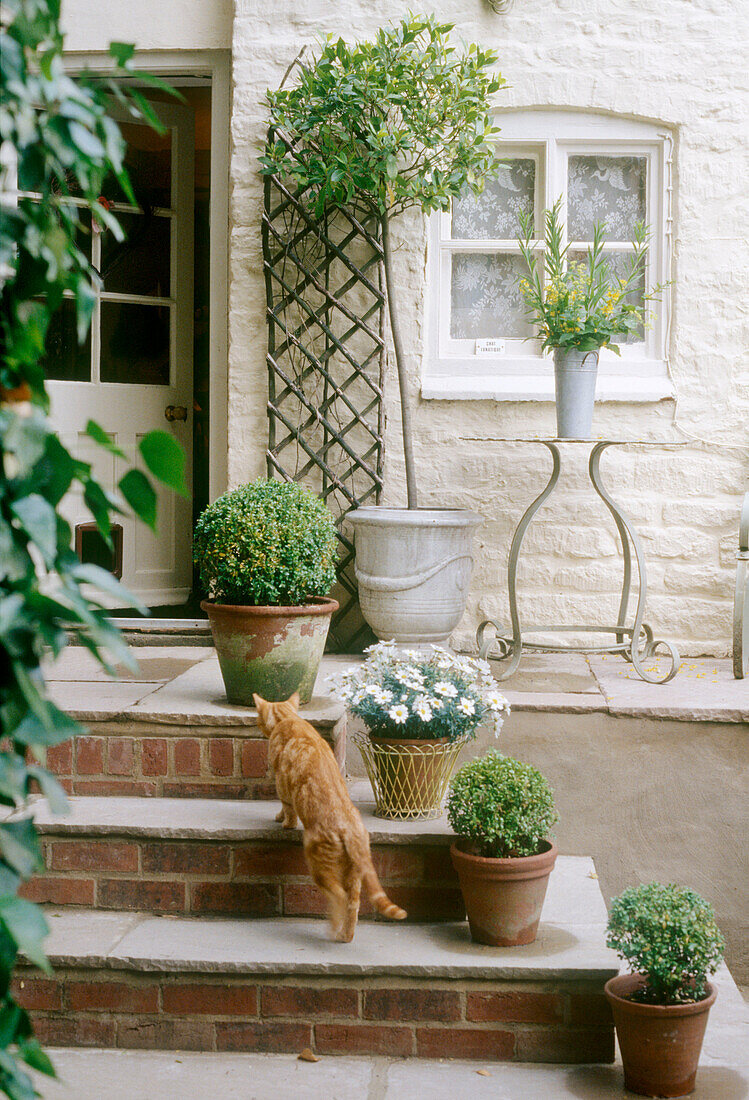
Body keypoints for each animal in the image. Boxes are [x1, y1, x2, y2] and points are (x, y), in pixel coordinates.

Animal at [252, 690, 406, 941]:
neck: (288, 719)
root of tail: (352, 831)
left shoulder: (282, 784)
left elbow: (287, 809)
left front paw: (283, 822)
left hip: (318, 863)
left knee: (339, 896)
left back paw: (333, 927)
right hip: (353, 874)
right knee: (353, 904)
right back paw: (345, 936)